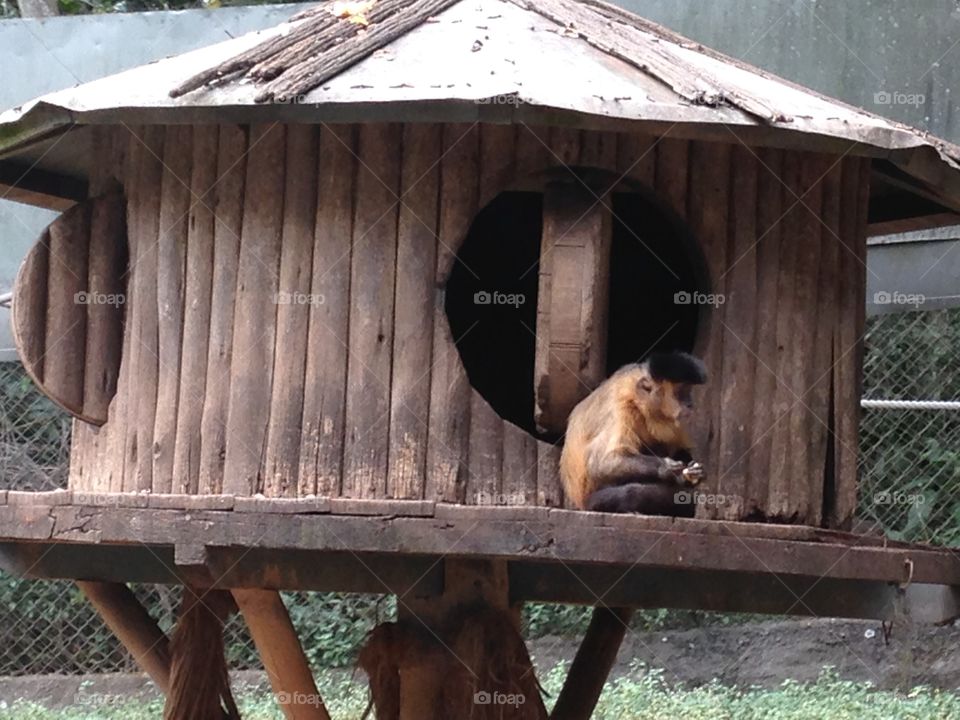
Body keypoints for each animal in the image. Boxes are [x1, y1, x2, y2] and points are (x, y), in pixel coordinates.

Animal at [560, 352, 708, 516]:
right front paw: (666, 468)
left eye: (689, 390)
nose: (690, 404)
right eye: (682, 391)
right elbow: (600, 464)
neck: (638, 401)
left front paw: (690, 474)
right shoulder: (622, 408)